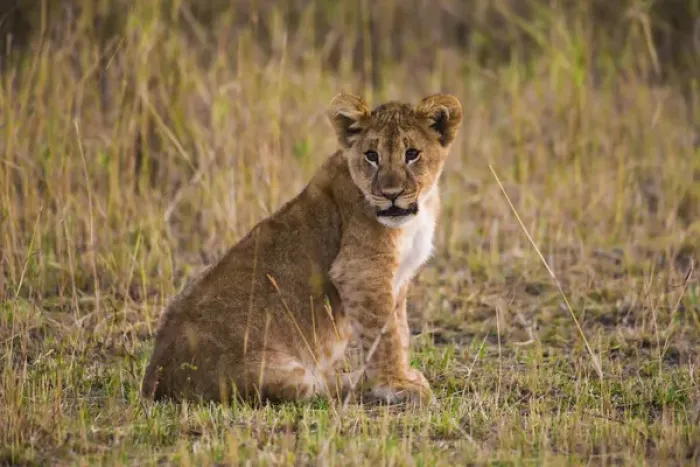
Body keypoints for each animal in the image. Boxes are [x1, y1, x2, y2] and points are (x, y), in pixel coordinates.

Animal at [140, 92, 463, 406]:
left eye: (412, 154)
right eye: (372, 156)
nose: (390, 194)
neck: (418, 212)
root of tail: (155, 378)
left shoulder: (398, 278)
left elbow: (401, 331)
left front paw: (403, 376)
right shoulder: (361, 271)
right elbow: (385, 336)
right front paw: (396, 385)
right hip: (278, 374)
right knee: (317, 387)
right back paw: (362, 384)